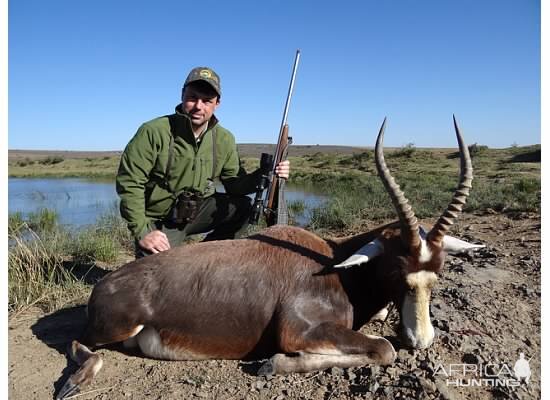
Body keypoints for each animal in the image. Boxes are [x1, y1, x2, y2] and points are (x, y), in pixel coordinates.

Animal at [58, 117, 486, 398]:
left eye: (438, 271)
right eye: (398, 268)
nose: (422, 339)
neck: (335, 264)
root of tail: (102, 287)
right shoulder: (298, 330)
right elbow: (383, 348)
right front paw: (273, 363)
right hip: (112, 330)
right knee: (81, 344)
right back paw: (75, 382)